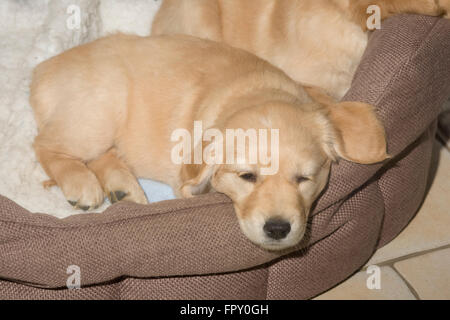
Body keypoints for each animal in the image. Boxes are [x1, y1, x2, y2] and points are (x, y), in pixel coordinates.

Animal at [30, 34, 386, 250]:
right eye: (247, 176)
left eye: (304, 179)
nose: (277, 229)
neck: (254, 93)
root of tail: (42, 70)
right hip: (98, 115)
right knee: (45, 144)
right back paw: (81, 184)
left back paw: (123, 188)